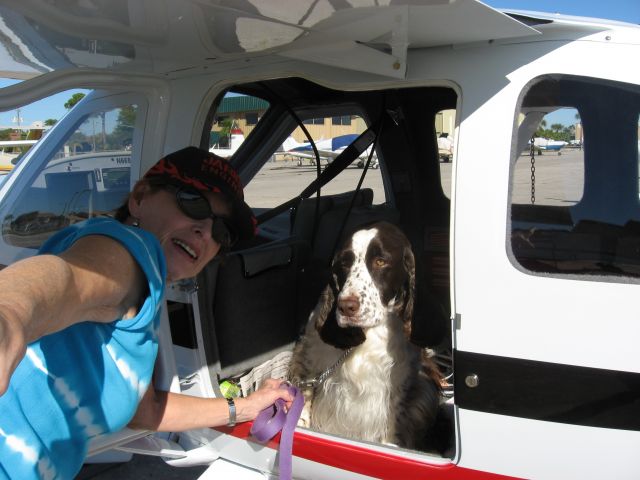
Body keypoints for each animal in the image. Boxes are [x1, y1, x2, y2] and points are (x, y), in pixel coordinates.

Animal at [290, 221, 440, 450]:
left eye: (380, 261)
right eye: (344, 264)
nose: (346, 307)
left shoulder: (398, 383)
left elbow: (392, 420)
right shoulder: (309, 361)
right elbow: (303, 400)